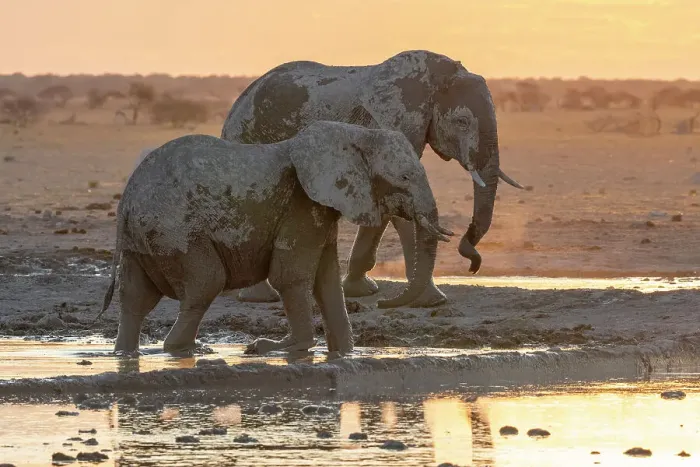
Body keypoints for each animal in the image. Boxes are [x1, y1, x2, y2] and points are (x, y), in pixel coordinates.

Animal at [98, 121, 453, 356]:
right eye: (405, 177)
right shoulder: (301, 203)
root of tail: (127, 199)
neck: (355, 133)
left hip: (143, 236)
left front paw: (344, 353)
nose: (382, 302)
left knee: (135, 297)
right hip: (174, 228)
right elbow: (290, 276)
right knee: (206, 282)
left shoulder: (320, 208)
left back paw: (126, 354)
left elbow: (326, 280)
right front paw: (287, 347)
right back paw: (184, 350)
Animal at [221, 49, 522, 308]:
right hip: (246, 138)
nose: (472, 262)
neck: (433, 76)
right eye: (461, 122)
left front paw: (368, 292)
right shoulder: (383, 125)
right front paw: (427, 301)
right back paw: (260, 297)